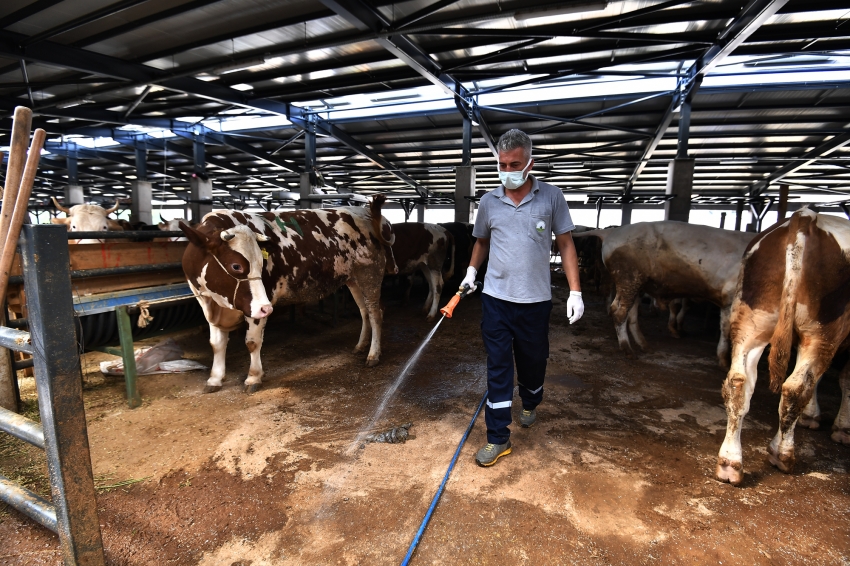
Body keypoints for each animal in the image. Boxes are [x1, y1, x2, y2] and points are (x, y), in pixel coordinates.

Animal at [180, 197, 398, 392]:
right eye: (236, 265)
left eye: (261, 262)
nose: (267, 308)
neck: (218, 303)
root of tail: (367, 212)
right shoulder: (208, 304)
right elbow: (216, 344)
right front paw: (215, 379)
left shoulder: (260, 303)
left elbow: (252, 342)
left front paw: (253, 377)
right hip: (353, 279)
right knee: (364, 311)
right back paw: (361, 346)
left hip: (370, 273)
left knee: (375, 312)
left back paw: (373, 355)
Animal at [576, 222, 756, 368]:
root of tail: (613, 231)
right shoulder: (731, 297)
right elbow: (729, 330)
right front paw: (725, 361)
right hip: (629, 278)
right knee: (619, 312)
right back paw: (627, 349)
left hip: (635, 283)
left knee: (630, 313)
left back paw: (644, 345)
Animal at [716, 211, 848, 486]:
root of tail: (806, 218)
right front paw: (842, 428)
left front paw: (812, 415)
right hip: (822, 332)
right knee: (794, 389)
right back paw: (782, 454)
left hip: (751, 324)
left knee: (738, 384)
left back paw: (730, 463)